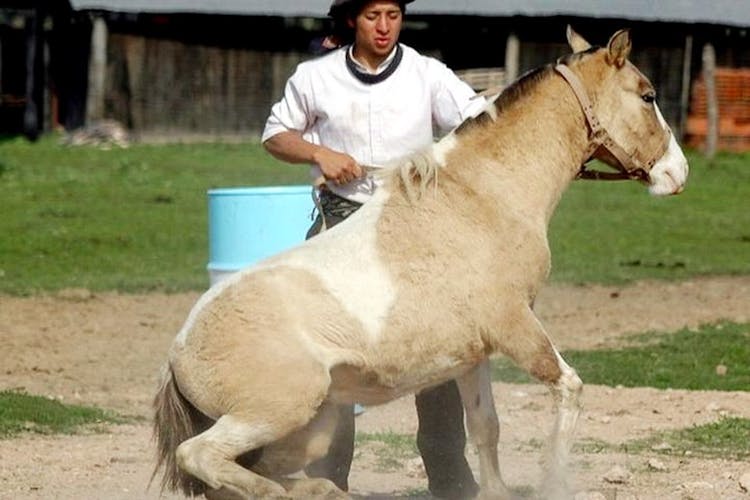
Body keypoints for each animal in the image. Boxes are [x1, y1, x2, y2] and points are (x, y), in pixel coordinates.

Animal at [154, 28, 692, 500]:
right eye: (647, 96)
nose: (678, 172)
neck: (485, 195)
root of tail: (177, 354)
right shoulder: (516, 325)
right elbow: (569, 388)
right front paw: (554, 483)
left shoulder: (475, 354)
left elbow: (485, 426)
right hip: (277, 411)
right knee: (200, 457)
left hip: (310, 426)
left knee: (243, 471)